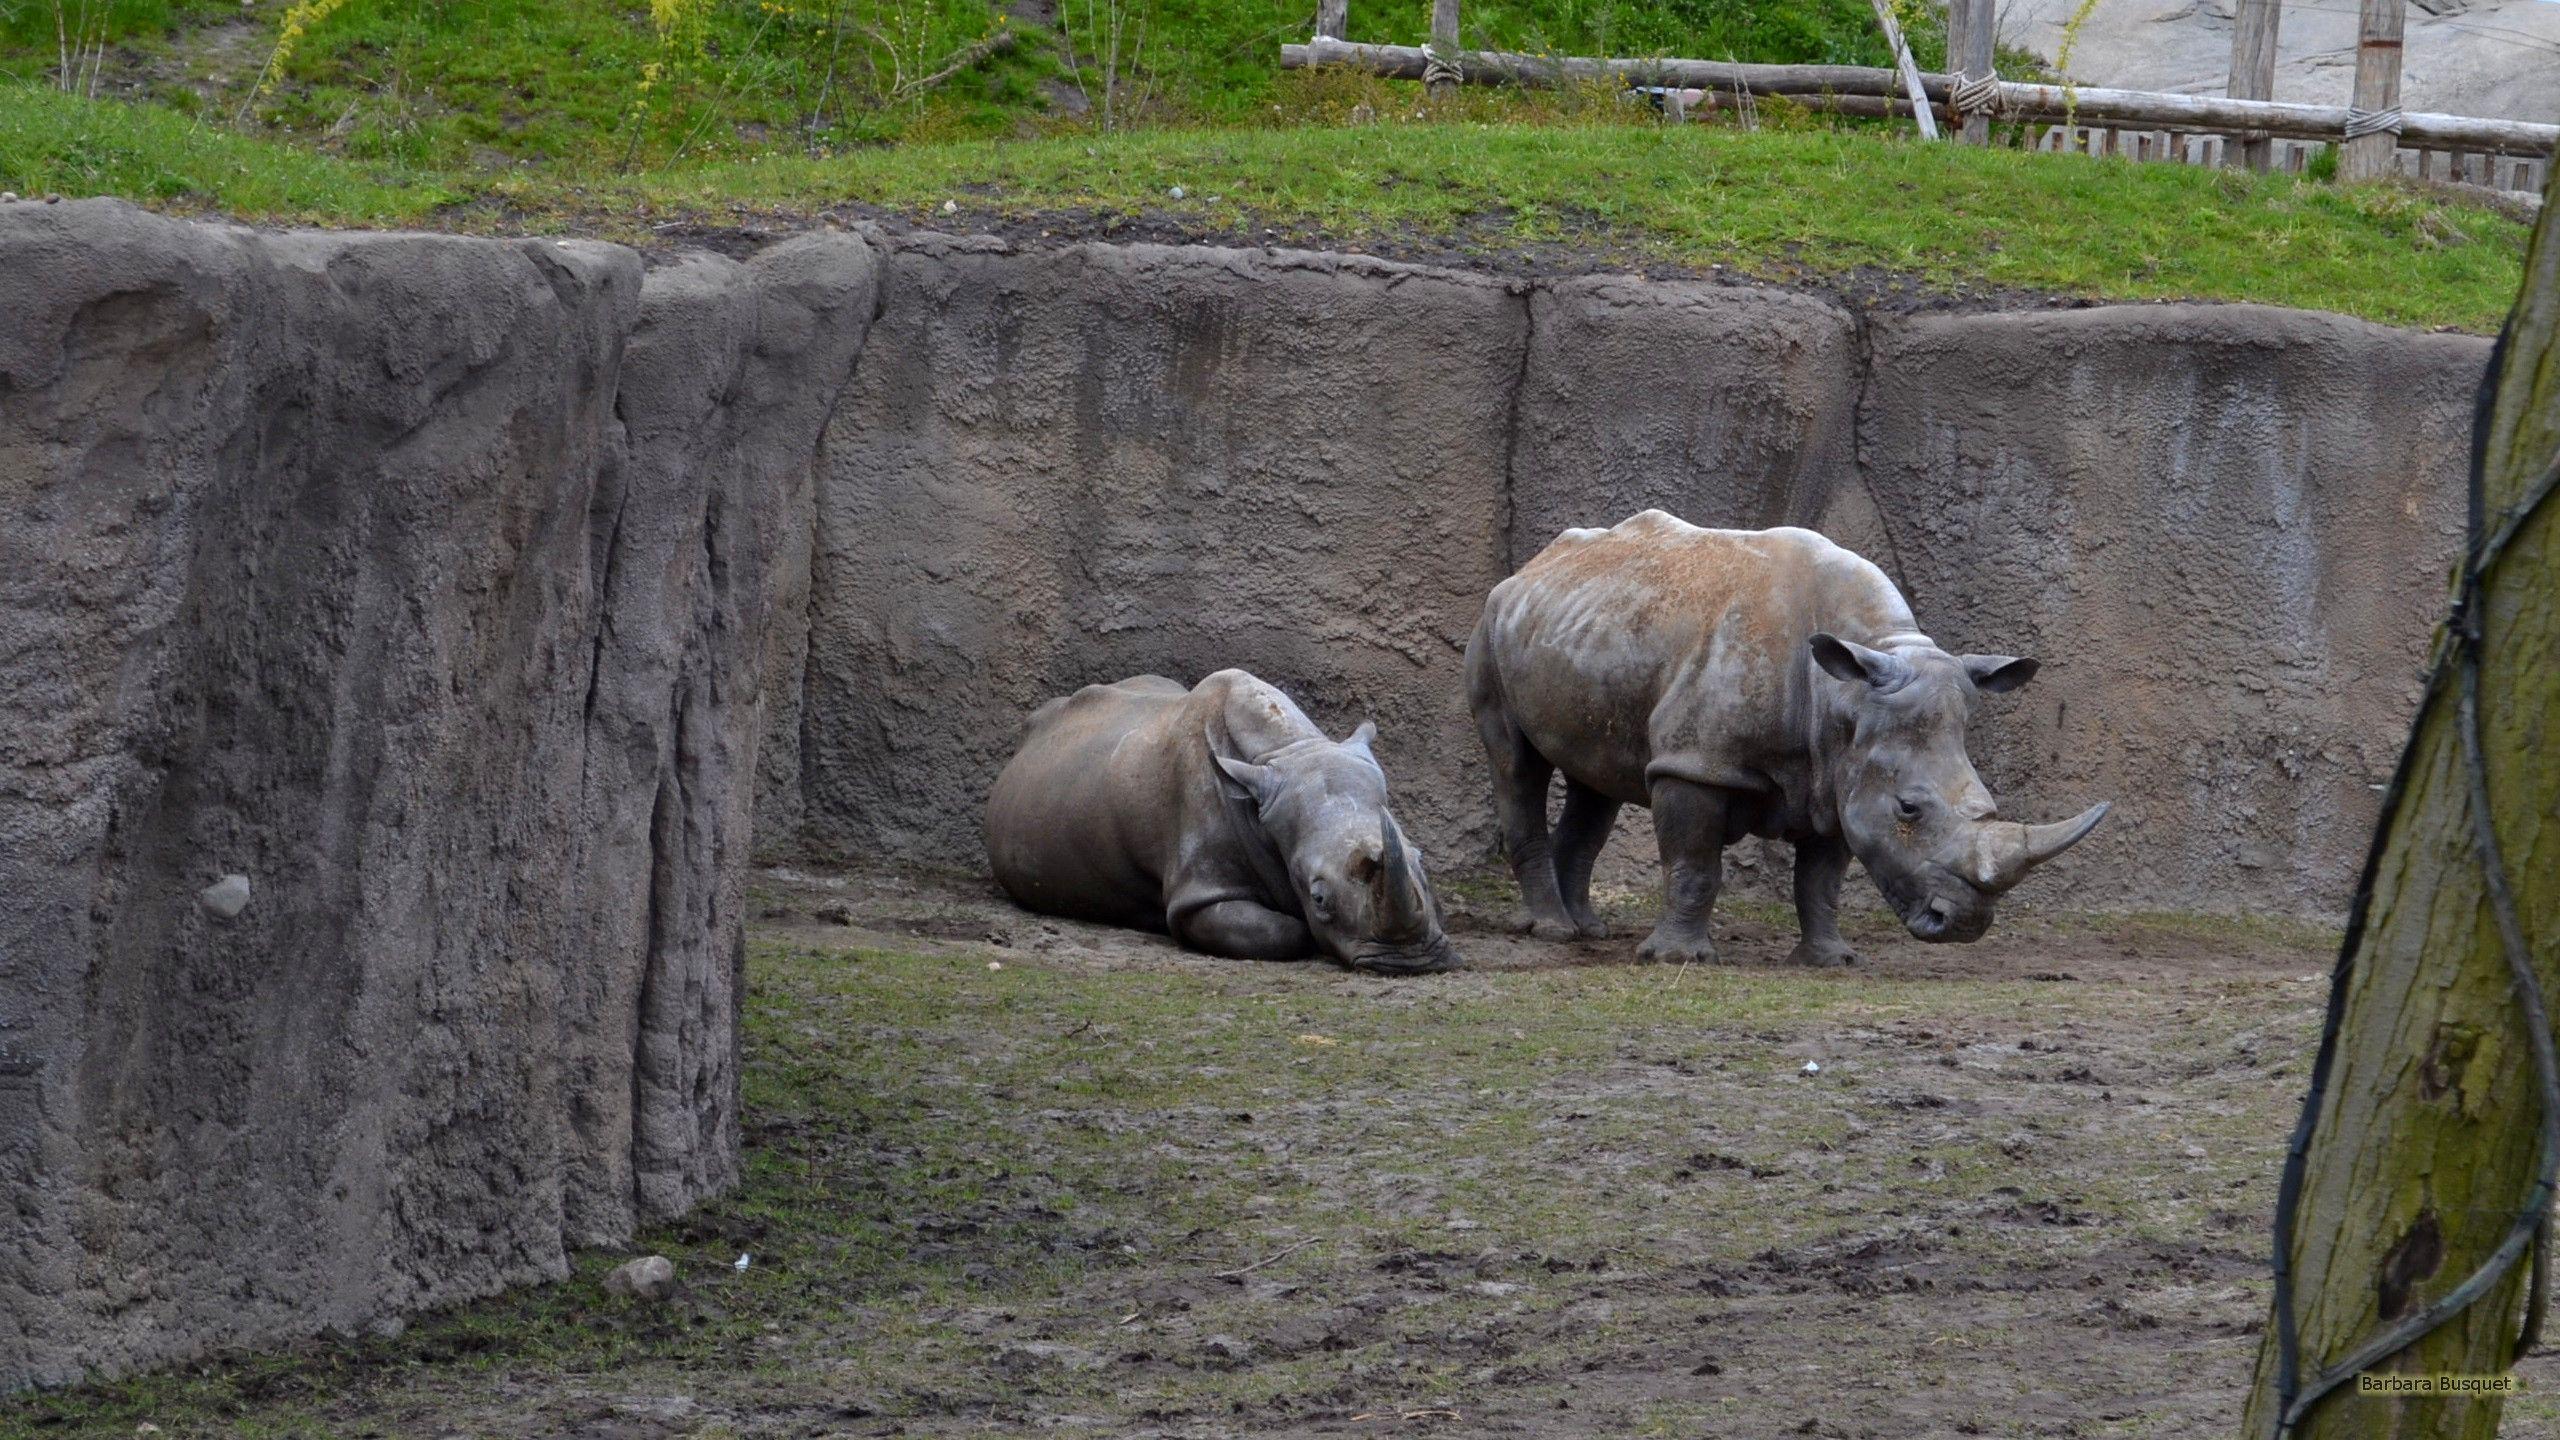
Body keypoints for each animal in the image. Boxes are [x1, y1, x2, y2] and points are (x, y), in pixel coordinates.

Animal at [986, 670, 1460, 974]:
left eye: (1422, 861)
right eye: (1319, 898)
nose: (1412, 963)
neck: (1289, 751)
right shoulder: (1201, 890)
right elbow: (1283, 932)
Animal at [1464, 511, 2109, 966]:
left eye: (1987, 803)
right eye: (1909, 809)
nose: (1965, 925)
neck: (1845, 697)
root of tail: (1531, 568)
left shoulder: (1839, 773)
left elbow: (1820, 879)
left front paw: (1832, 960)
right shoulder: (1695, 763)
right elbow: (1693, 864)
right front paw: (1677, 959)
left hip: (1586, 626)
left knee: (1595, 780)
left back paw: (1586, 930)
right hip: (1491, 623)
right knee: (1515, 765)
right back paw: (1552, 931)